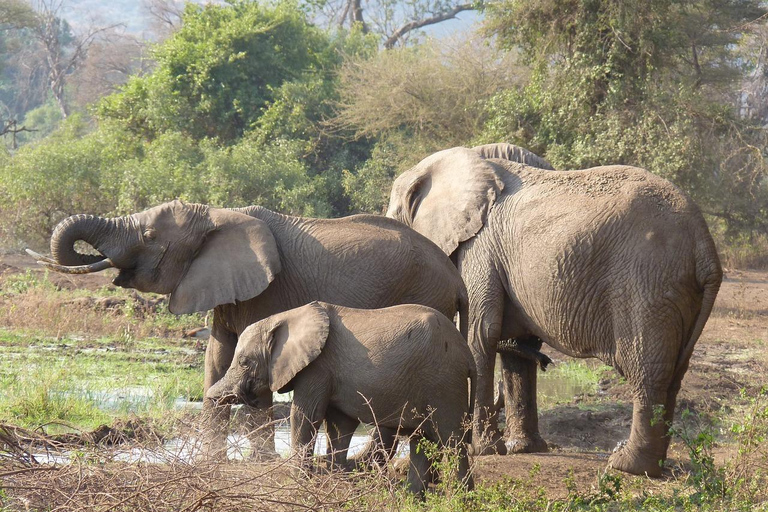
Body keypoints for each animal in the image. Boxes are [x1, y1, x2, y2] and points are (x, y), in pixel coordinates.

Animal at [31, 199, 468, 456]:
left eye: (150, 236)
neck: (216, 214)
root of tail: (456, 278)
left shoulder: (269, 293)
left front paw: (258, 465)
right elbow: (217, 359)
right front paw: (210, 467)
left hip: (423, 298)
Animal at [388, 143, 724, 476]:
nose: (547, 361)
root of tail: (705, 244)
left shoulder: (480, 248)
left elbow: (480, 335)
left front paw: (482, 450)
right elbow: (514, 347)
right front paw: (522, 449)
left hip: (648, 284)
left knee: (647, 370)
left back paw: (627, 465)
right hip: (676, 294)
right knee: (674, 373)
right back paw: (653, 465)